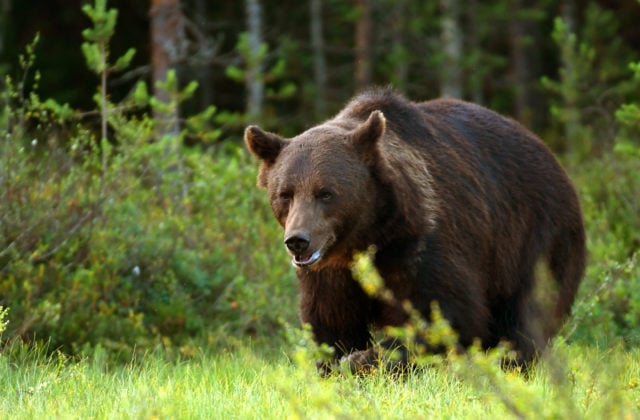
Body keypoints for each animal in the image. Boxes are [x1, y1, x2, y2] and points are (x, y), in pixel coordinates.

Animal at [245, 88, 584, 370]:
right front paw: (338, 360)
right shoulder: (331, 272)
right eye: (285, 194)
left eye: (326, 193)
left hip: (535, 235)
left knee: (528, 311)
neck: (368, 236)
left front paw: (365, 359)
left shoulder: (424, 244)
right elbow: (331, 321)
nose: (297, 241)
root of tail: (551, 155)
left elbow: (445, 311)